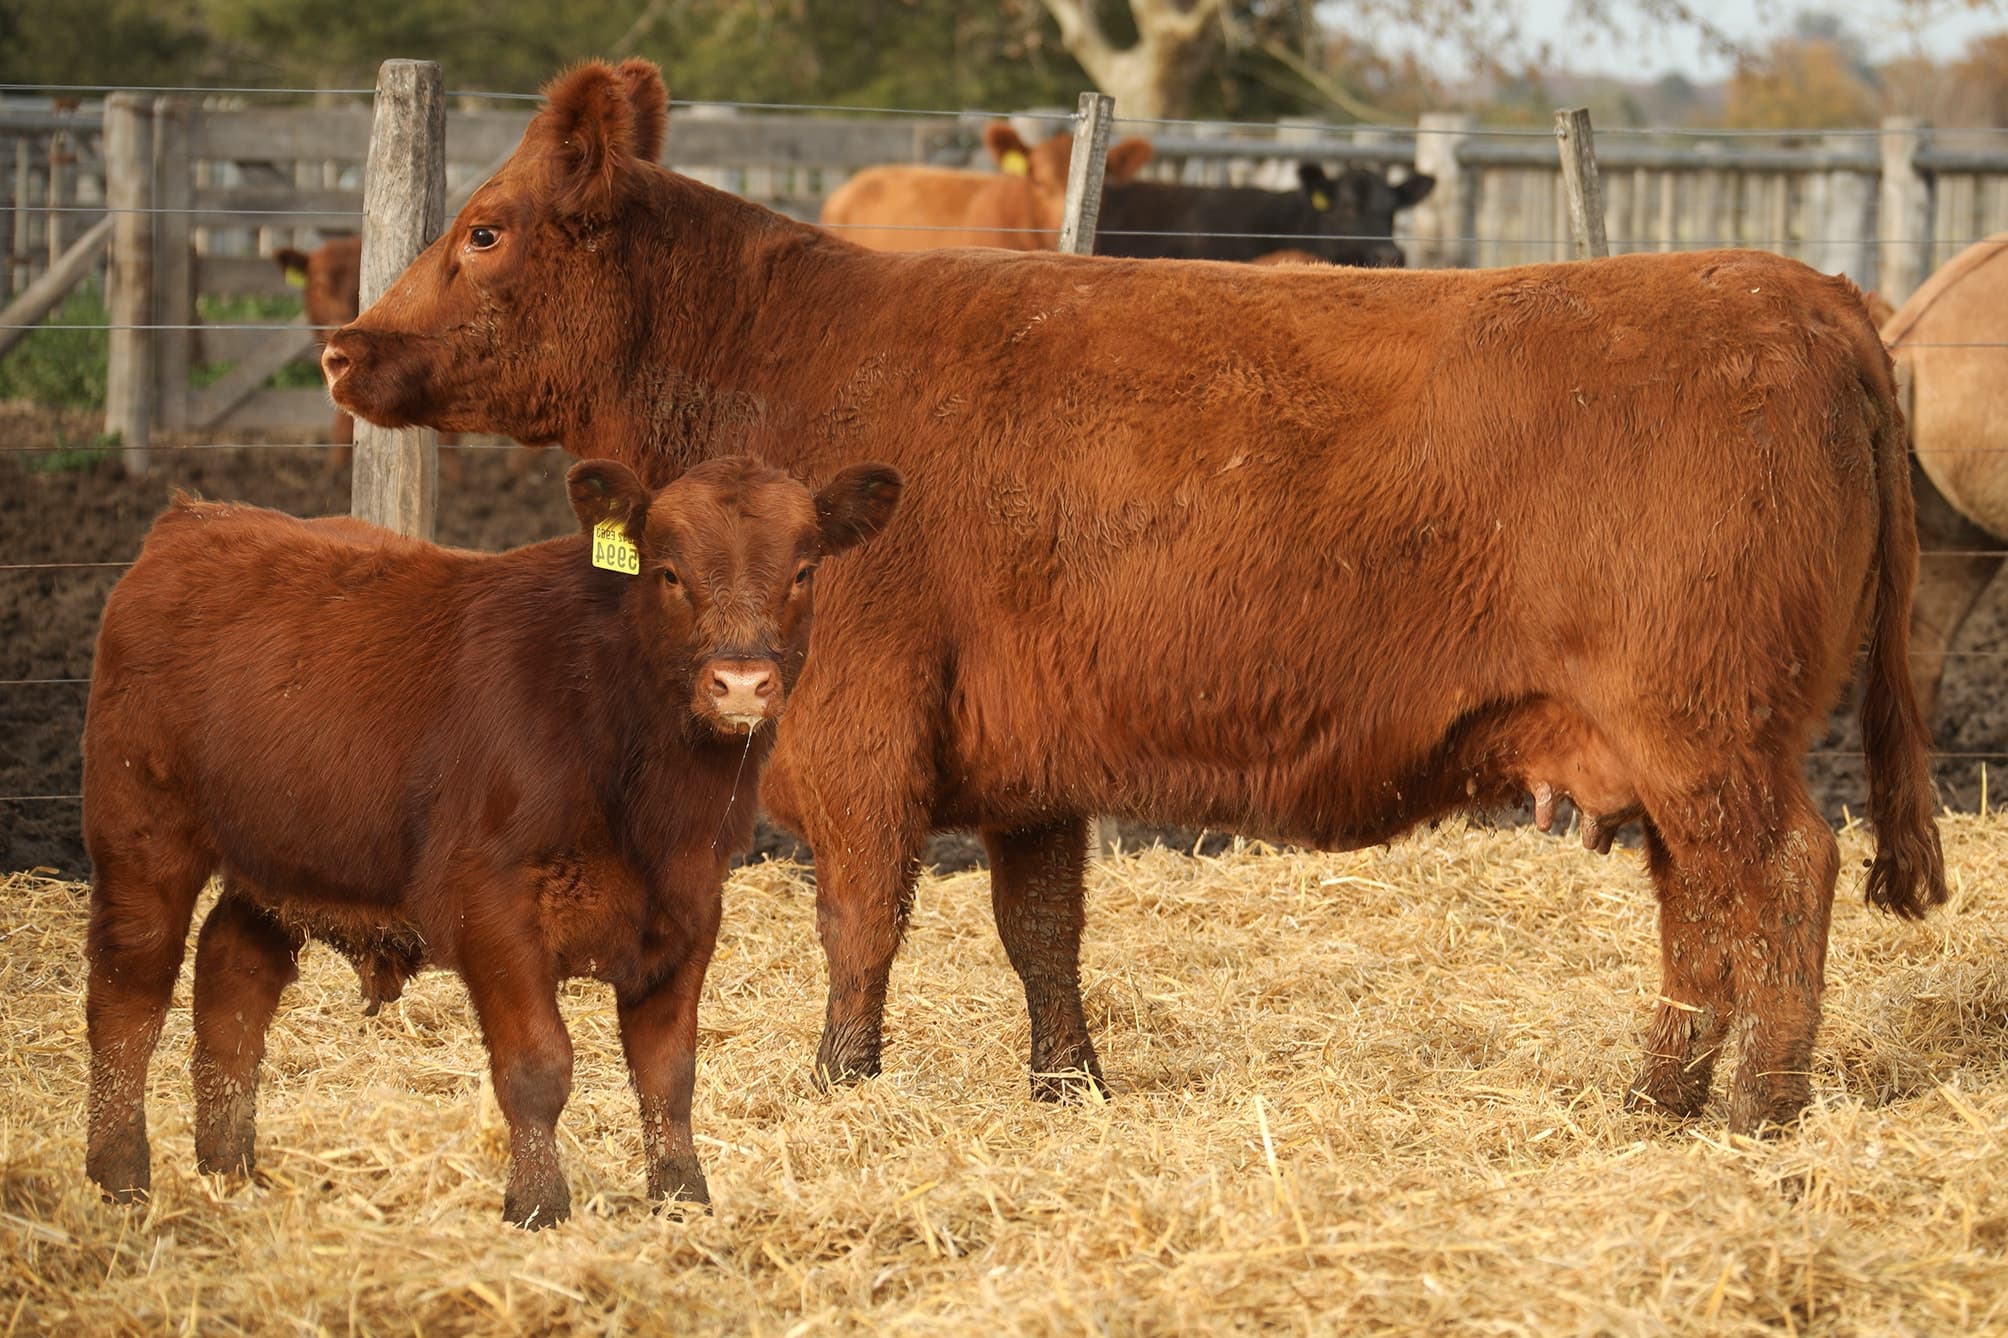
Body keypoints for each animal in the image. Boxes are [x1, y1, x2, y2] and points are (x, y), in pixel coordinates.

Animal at [80, 455, 903, 1227]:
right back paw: (119, 1175)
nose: (740, 683)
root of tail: (192, 518)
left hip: (284, 852)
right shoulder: (489, 904)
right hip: (141, 832)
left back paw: (228, 1164)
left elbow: (669, 1072)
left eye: (802, 571)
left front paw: (682, 1198)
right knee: (130, 992)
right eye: (668, 572)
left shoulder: (690, 903)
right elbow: (538, 1065)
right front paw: (538, 1203)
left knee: (233, 973)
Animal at [322, 59, 1946, 1137]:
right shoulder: (1026, 756)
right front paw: (1068, 1087)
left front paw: (840, 1084)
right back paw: (1653, 1097)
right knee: (1700, 911)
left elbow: (863, 916)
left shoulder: (854, 725)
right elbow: (1042, 933)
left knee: (1785, 878)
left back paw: (1760, 1112)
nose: (342, 347)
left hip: (1711, 725)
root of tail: (1803, 295)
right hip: (1673, 746)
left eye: (484, 229)